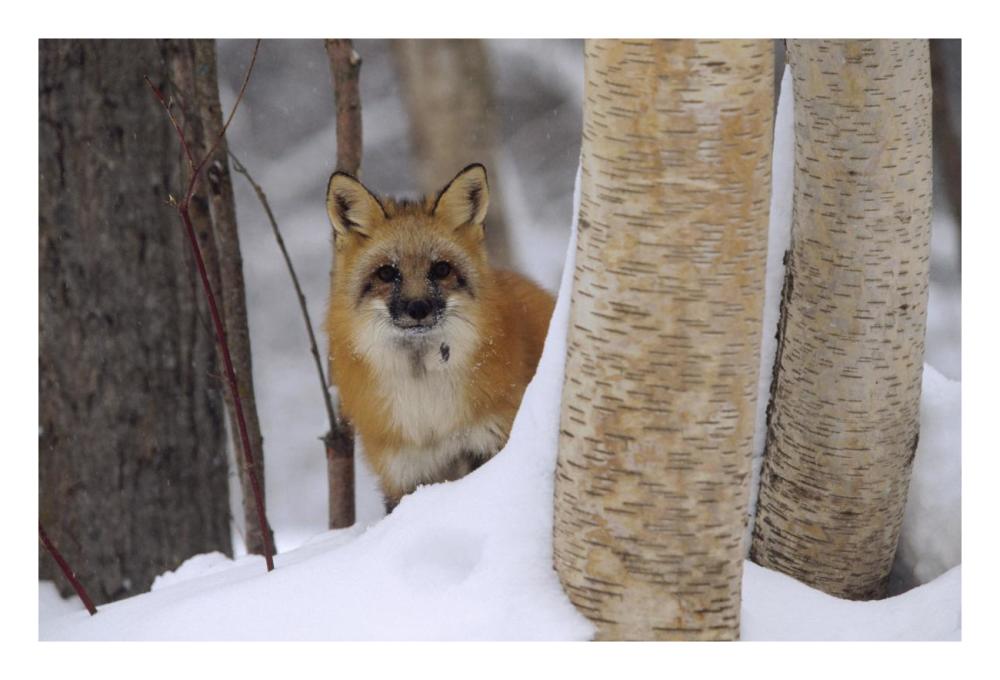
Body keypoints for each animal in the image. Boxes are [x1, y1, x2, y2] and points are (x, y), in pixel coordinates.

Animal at [324, 164, 555, 512]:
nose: (418, 308)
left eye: (441, 269)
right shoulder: (403, 473)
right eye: (387, 273)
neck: (429, 415)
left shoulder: (489, 442)